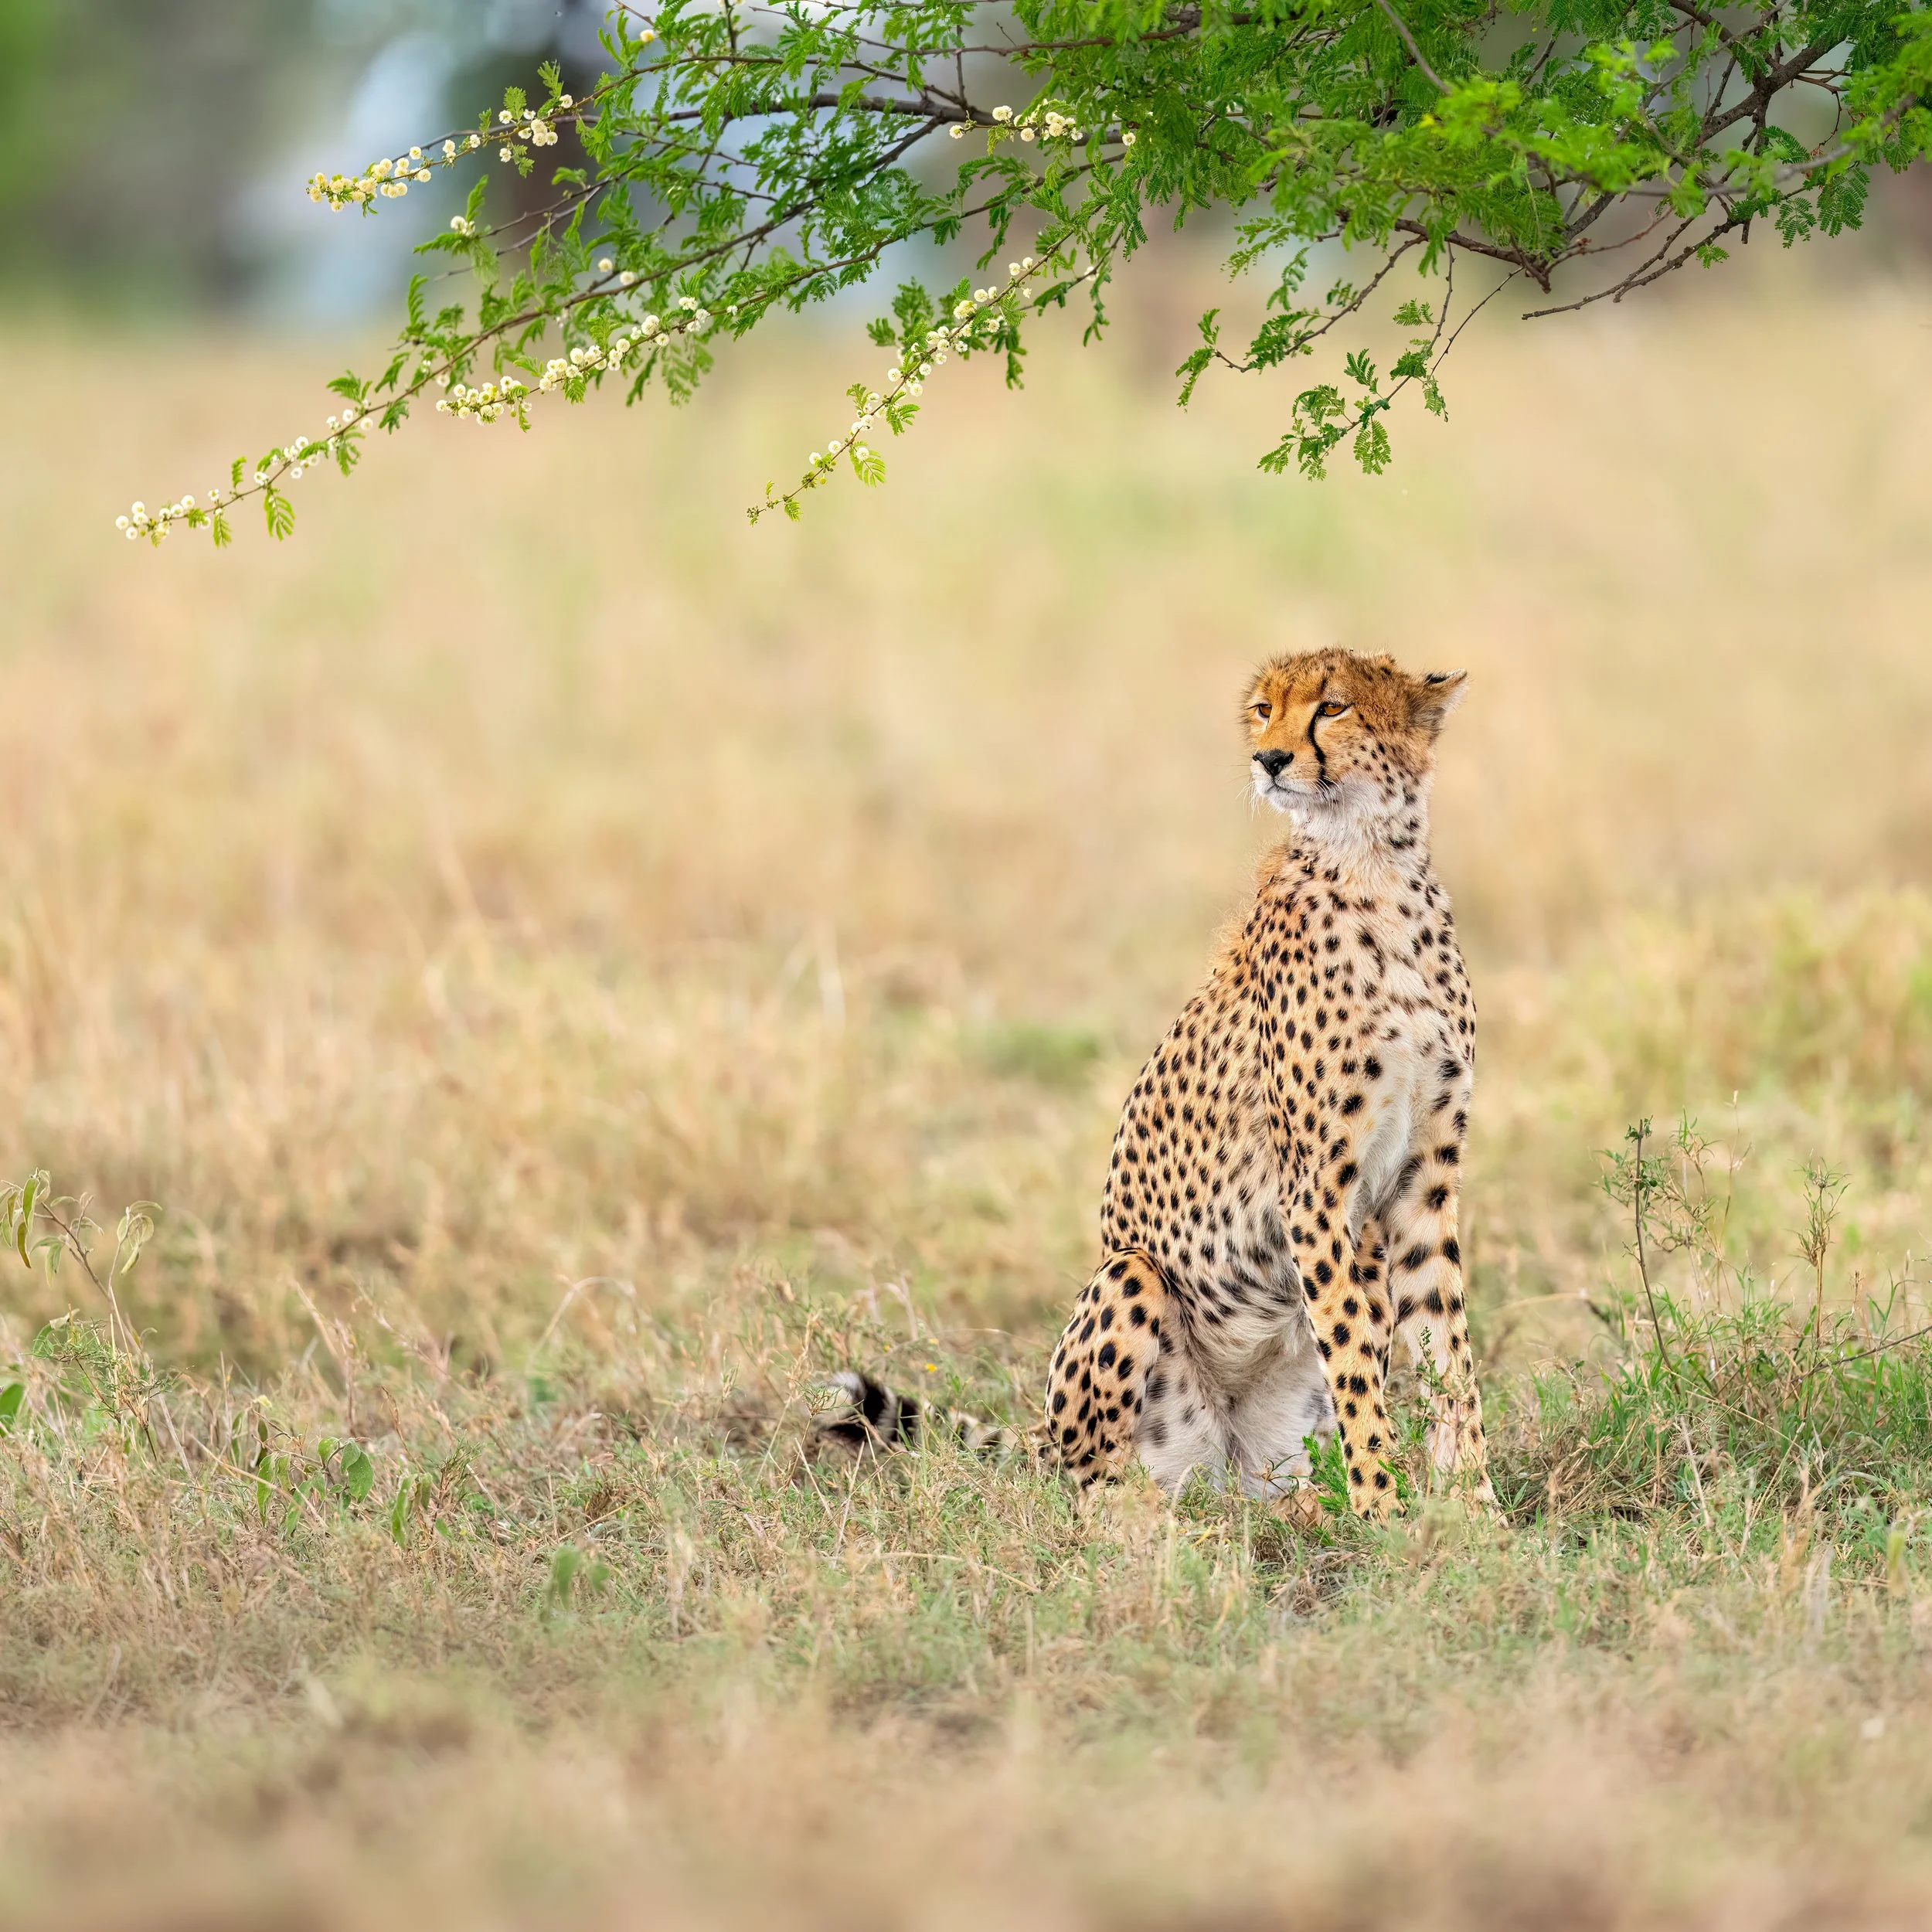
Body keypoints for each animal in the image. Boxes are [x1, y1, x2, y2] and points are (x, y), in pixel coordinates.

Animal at [823, 648, 1492, 1521]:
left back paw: (1301, 1507)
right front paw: (1385, 1509)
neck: (1374, 863)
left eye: (1334, 708)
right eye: (1263, 709)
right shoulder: (1313, 1190)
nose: (1269, 759)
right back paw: (1150, 1521)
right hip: (1128, 1282)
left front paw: (1477, 1511)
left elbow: (1447, 1352)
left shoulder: (1422, 1180)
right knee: (1098, 1486)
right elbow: (1355, 1363)